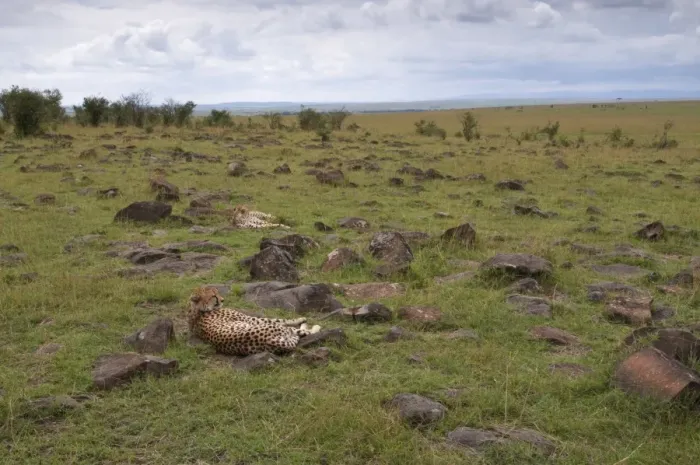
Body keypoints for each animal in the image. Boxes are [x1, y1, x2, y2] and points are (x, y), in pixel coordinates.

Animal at [187, 285, 321, 356]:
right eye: (214, 296)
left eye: (217, 293)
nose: (223, 300)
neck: (196, 310)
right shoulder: (252, 319)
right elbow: (278, 319)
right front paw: (300, 318)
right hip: (281, 330)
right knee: (303, 332)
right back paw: (314, 326)